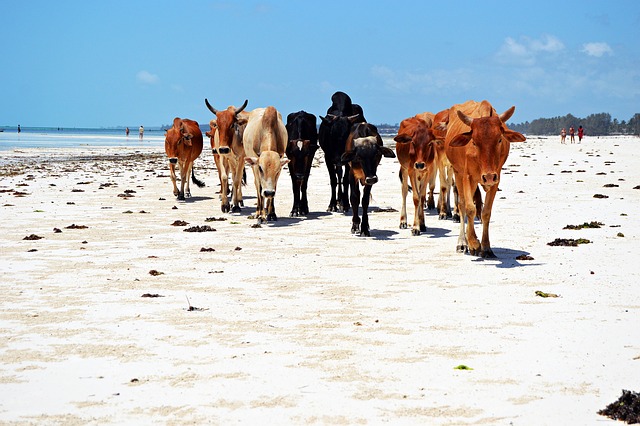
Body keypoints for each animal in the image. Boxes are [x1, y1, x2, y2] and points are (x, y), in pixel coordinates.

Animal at [444, 101, 524, 258]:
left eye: (499, 139)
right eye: (474, 142)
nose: (487, 176)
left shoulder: (496, 179)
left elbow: (486, 212)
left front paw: (486, 247)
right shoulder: (467, 177)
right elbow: (469, 208)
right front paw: (474, 243)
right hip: (458, 173)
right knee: (462, 205)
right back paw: (463, 242)